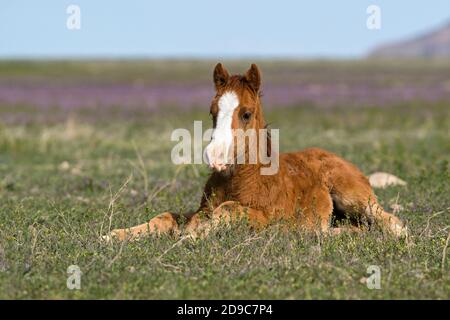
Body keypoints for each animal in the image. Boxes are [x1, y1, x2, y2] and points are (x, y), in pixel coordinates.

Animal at [103, 63, 408, 240]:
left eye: (246, 113)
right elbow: (166, 217)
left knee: (385, 218)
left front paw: (192, 236)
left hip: (353, 196)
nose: (215, 157)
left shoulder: (271, 219)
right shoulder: (199, 209)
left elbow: (226, 211)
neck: (240, 179)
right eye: (212, 112)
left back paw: (400, 235)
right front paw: (115, 235)